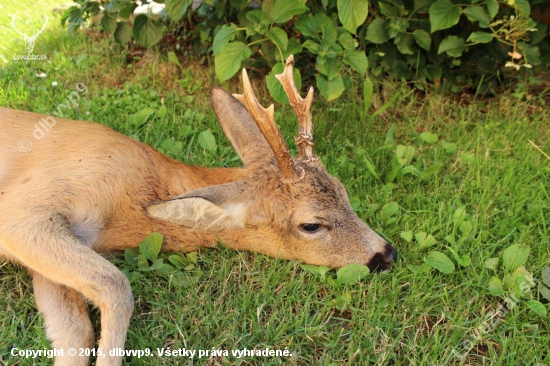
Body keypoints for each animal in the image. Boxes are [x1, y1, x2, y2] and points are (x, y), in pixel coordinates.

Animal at [0, 55, 396, 364]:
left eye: (344, 191)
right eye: (311, 225)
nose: (387, 253)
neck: (130, 204)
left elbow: (74, 331)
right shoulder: (24, 209)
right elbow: (116, 285)